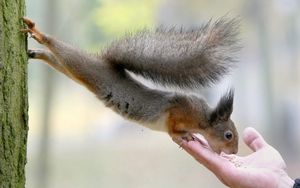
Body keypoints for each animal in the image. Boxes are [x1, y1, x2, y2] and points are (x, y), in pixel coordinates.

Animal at [21, 16, 240, 154]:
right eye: (228, 135)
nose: (234, 152)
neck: (203, 118)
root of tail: (104, 62)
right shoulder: (178, 111)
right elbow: (172, 127)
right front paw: (183, 136)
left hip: (75, 72)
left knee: (57, 61)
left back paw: (38, 53)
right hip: (85, 67)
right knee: (63, 51)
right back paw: (39, 34)